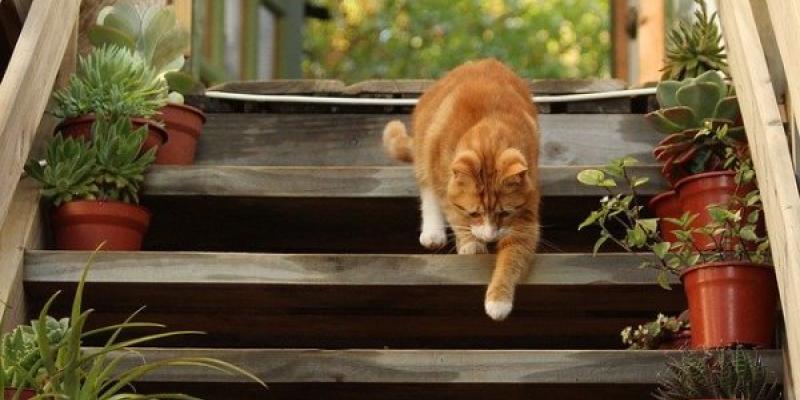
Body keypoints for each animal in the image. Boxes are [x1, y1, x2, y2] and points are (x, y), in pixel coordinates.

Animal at [382, 58, 544, 322]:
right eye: (474, 213)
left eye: (504, 213)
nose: (489, 236)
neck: (490, 133)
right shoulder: (443, 179)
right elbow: (454, 214)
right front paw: (470, 243)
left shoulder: (525, 219)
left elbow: (512, 259)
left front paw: (498, 301)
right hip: (426, 152)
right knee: (427, 191)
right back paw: (433, 234)